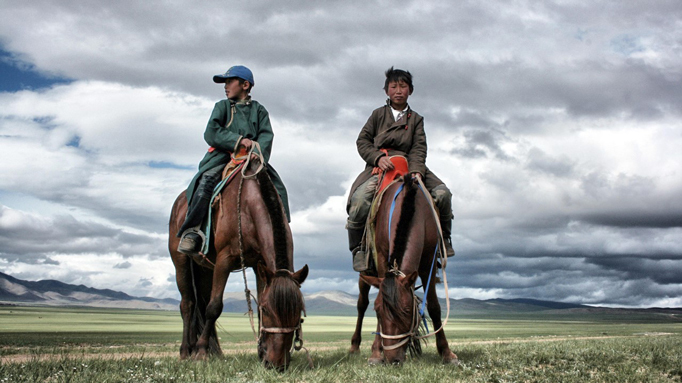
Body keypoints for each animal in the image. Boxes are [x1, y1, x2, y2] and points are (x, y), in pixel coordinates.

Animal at [169, 155, 306, 372]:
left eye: (298, 312)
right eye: (268, 310)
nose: (276, 364)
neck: (248, 207)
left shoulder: (260, 266)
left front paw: (261, 352)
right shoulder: (225, 260)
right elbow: (214, 307)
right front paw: (201, 353)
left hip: (204, 269)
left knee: (200, 301)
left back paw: (210, 351)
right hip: (180, 260)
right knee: (188, 304)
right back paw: (186, 351)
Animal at [348, 176, 454, 364]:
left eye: (407, 311)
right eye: (378, 311)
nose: (393, 359)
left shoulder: (428, 262)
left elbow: (434, 306)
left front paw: (447, 353)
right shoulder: (382, 257)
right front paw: (376, 354)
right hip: (365, 272)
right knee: (361, 304)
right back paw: (354, 347)